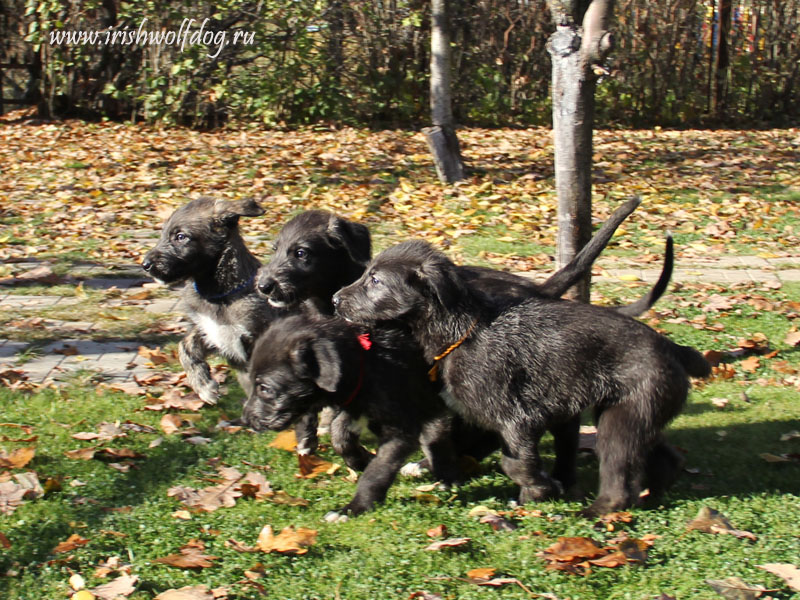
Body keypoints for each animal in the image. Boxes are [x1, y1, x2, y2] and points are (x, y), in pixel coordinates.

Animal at [241, 314, 460, 516]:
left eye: (265, 388)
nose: (245, 420)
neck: (367, 364)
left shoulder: (401, 430)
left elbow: (378, 470)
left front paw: (354, 507)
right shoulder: (354, 405)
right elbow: (339, 435)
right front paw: (360, 459)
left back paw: (445, 478)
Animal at [334, 240, 708, 516]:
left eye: (376, 281)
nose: (336, 300)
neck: (460, 333)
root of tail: (674, 348)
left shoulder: (519, 419)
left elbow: (514, 463)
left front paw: (540, 491)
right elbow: (512, 460)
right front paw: (533, 496)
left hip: (621, 421)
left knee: (619, 481)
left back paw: (592, 511)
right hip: (631, 414)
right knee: (664, 456)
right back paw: (654, 493)